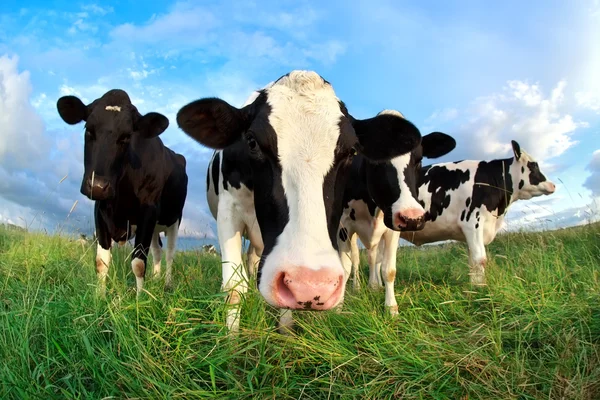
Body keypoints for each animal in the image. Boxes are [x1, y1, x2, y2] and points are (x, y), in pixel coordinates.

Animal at [56, 90, 188, 296]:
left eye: (126, 137)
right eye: (88, 130)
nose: (97, 186)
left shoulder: (148, 210)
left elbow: (139, 262)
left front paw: (140, 299)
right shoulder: (100, 210)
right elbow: (101, 262)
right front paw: (99, 297)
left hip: (174, 219)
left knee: (169, 254)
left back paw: (167, 284)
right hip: (155, 227)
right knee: (158, 251)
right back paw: (156, 279)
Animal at [176, 70, 424, 332]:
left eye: (352, 151)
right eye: (251, 142)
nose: (310, 284)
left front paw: (285, 329)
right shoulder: (228, 211)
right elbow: (234, 287)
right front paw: (231, 339)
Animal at [338, 110, 454, 316]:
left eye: (419, 160)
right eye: (375, 160)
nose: (412, 217)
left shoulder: (392, 227)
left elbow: (388, 269)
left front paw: (391, 307)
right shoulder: (343, 225)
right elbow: (345, 267)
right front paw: (337, 309)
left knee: (374, 257)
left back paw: (374, 286)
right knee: (358, 260)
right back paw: (358, 287)